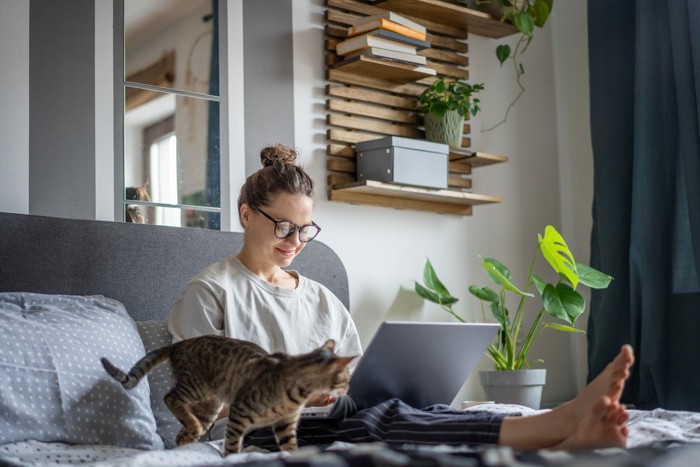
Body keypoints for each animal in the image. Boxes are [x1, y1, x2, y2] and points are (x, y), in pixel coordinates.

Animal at [101, 334, 356, 456]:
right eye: (346, 378)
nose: (348, 390)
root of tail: (179, 345)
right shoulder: (239, 412)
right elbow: (233, 444)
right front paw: (232, 458)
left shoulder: (285, 424)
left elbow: (290, 447)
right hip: (196, 386)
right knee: (170, 398)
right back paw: (192, 428)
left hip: (210, 406)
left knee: (183, 432)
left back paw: (188, 436)